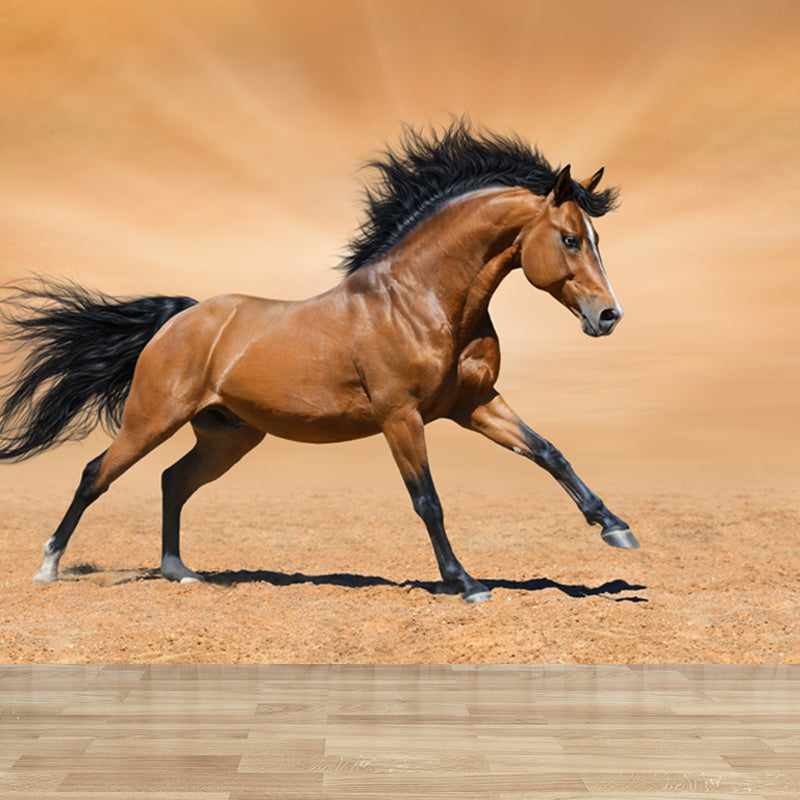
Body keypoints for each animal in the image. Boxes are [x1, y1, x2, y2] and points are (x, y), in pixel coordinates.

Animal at [0, 121, 638, 603]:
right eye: (570, 238)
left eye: (596, 238)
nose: (609, 316)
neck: (422, 300)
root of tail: (180, 318)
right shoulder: (400, 417)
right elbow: (427, 500)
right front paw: (465, 583)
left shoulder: (475, 404)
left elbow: (549, 452)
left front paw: (616, 528)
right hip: (151, 418)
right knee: (96, 475)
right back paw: (48, 568)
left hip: (228, 436)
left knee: (172, 480)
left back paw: (181, 572)